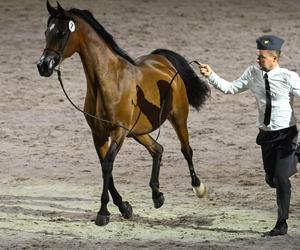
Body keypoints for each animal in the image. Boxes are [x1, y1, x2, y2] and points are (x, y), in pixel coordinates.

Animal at [37, 0, 211, 227]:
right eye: (46, 32)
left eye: (61, 32)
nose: (43, 65)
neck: (107, 81)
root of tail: (162, 60)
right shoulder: (99, 134)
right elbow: (105, 167)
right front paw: (124, 207)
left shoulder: (118, 132)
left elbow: (107, 165)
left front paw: (103, 213)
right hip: (137, 131)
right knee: (157, 149)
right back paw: (157, 195)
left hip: (178, 118)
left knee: (186, 150)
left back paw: (198, 187)